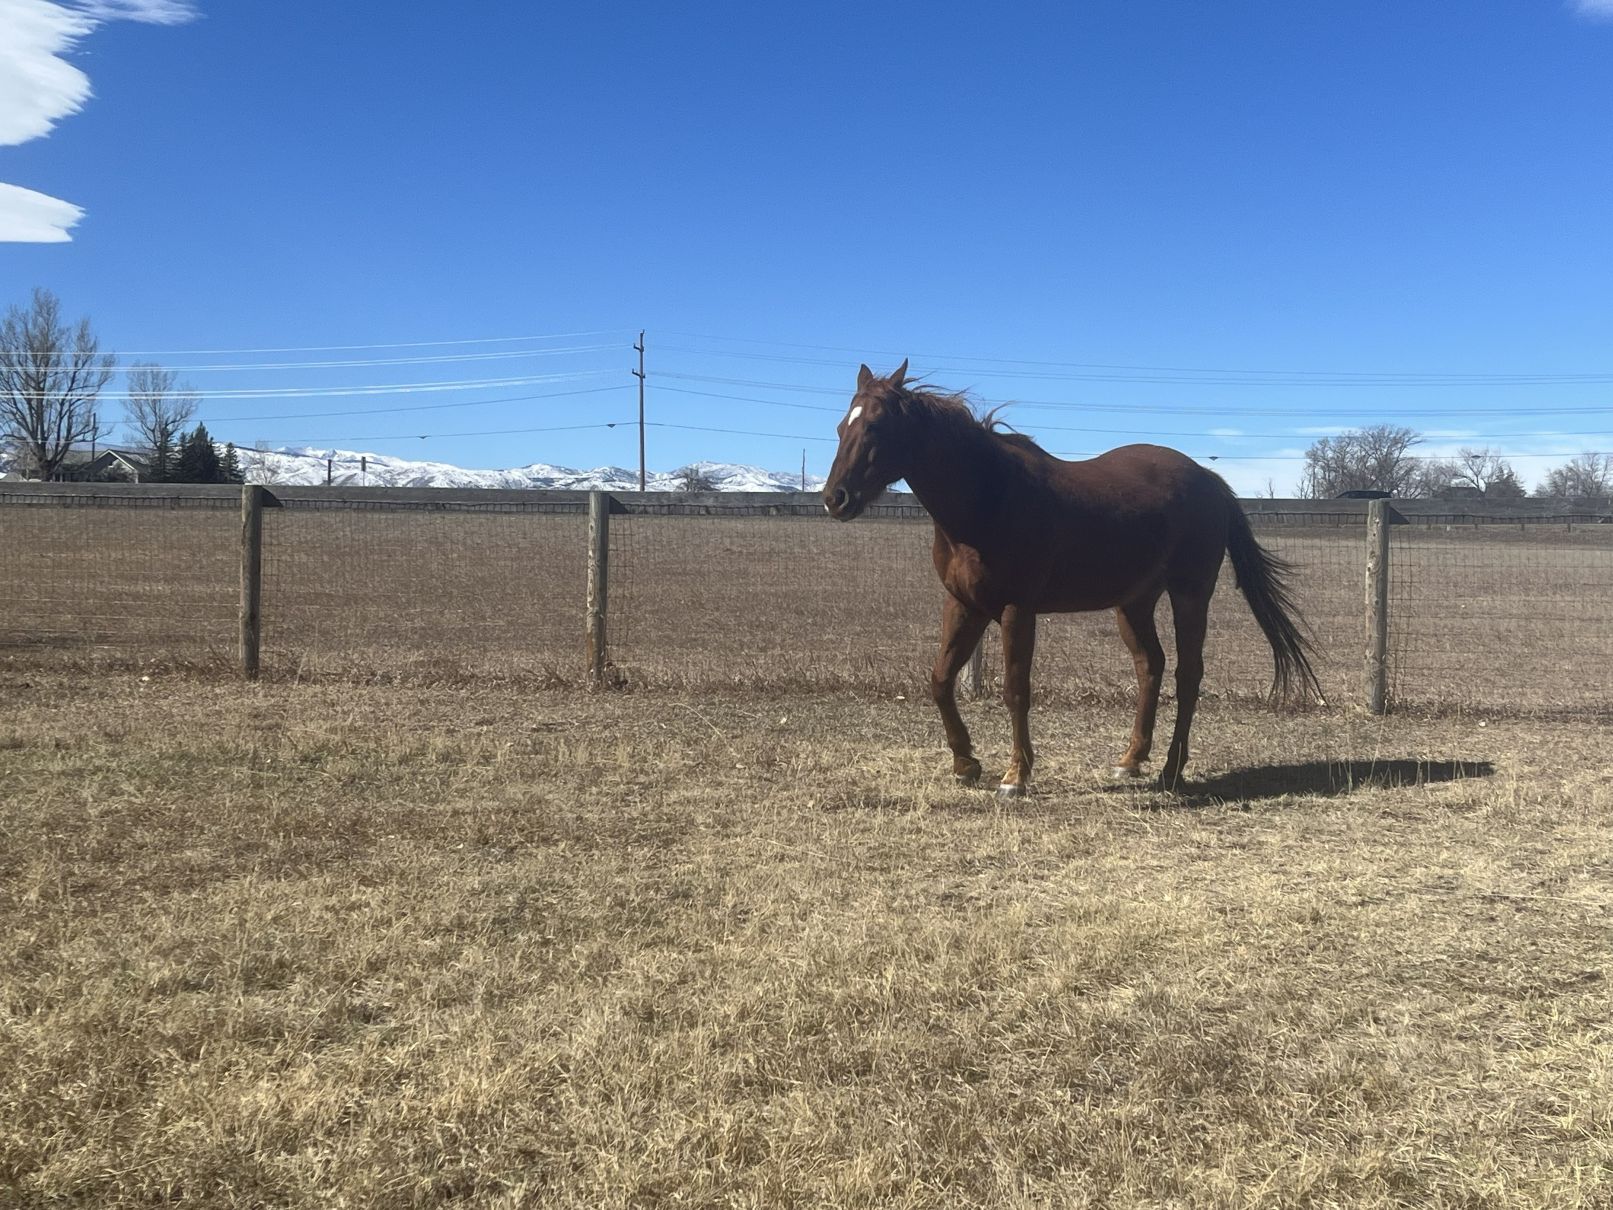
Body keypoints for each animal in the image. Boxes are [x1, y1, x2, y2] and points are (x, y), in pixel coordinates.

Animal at [823, 360, 1320, 794]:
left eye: (876, 427)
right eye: (842, 427)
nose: (835, 498)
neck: (988, 496)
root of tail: (1209, 479)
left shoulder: (1016, 610)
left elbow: (1016, 690)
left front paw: (1016, 776)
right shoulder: (965, 605)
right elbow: (940, 680)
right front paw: (965, 763)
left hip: (1191, 595)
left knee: (1188, 674)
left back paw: (1171, 769)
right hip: (1134, 603)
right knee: (1151, 666)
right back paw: (1131, 759)